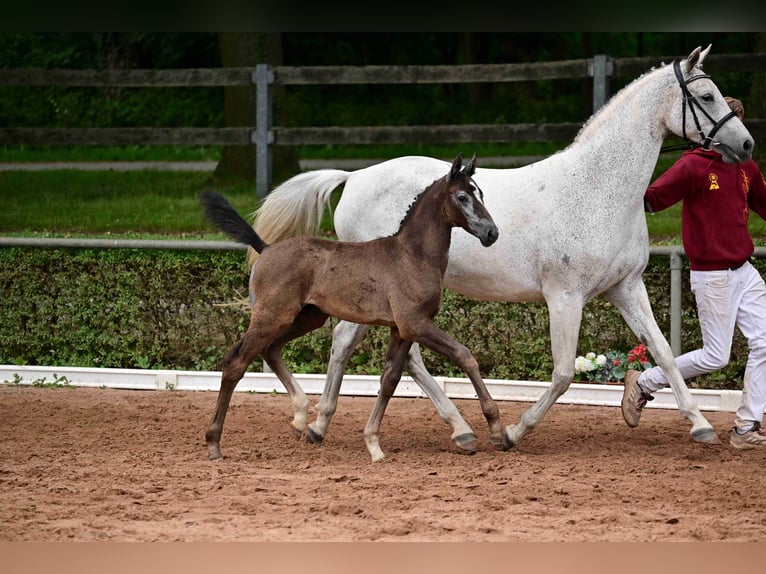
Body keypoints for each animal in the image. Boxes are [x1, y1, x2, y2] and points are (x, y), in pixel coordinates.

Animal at [202, 154, 504, 464]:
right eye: (462, 197)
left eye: (481, 193)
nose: (491, 232)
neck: (412, 256)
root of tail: (266, 248)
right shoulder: (415, 324)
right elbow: (464, 355)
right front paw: (496, 429)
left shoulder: (401, 329)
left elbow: (390, 379)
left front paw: (373, 444)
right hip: (272, 316)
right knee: (236, 362)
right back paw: (215, 443)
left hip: (307, 317)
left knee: (270, 349)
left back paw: (301, 418)